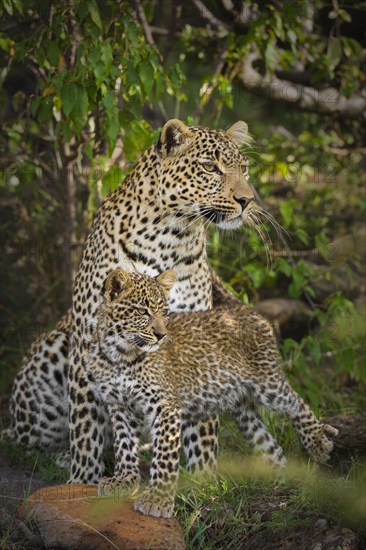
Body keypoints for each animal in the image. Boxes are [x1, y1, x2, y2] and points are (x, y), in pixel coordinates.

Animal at [8, 119, 256, 484]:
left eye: (244, 168)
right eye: (211, 167)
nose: (247, 200)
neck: (174, 237)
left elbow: (203, 424)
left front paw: (204, 476)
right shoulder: (89, 340)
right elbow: (86, 424)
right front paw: (83, 479)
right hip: (51, 354)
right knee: (30, 445)